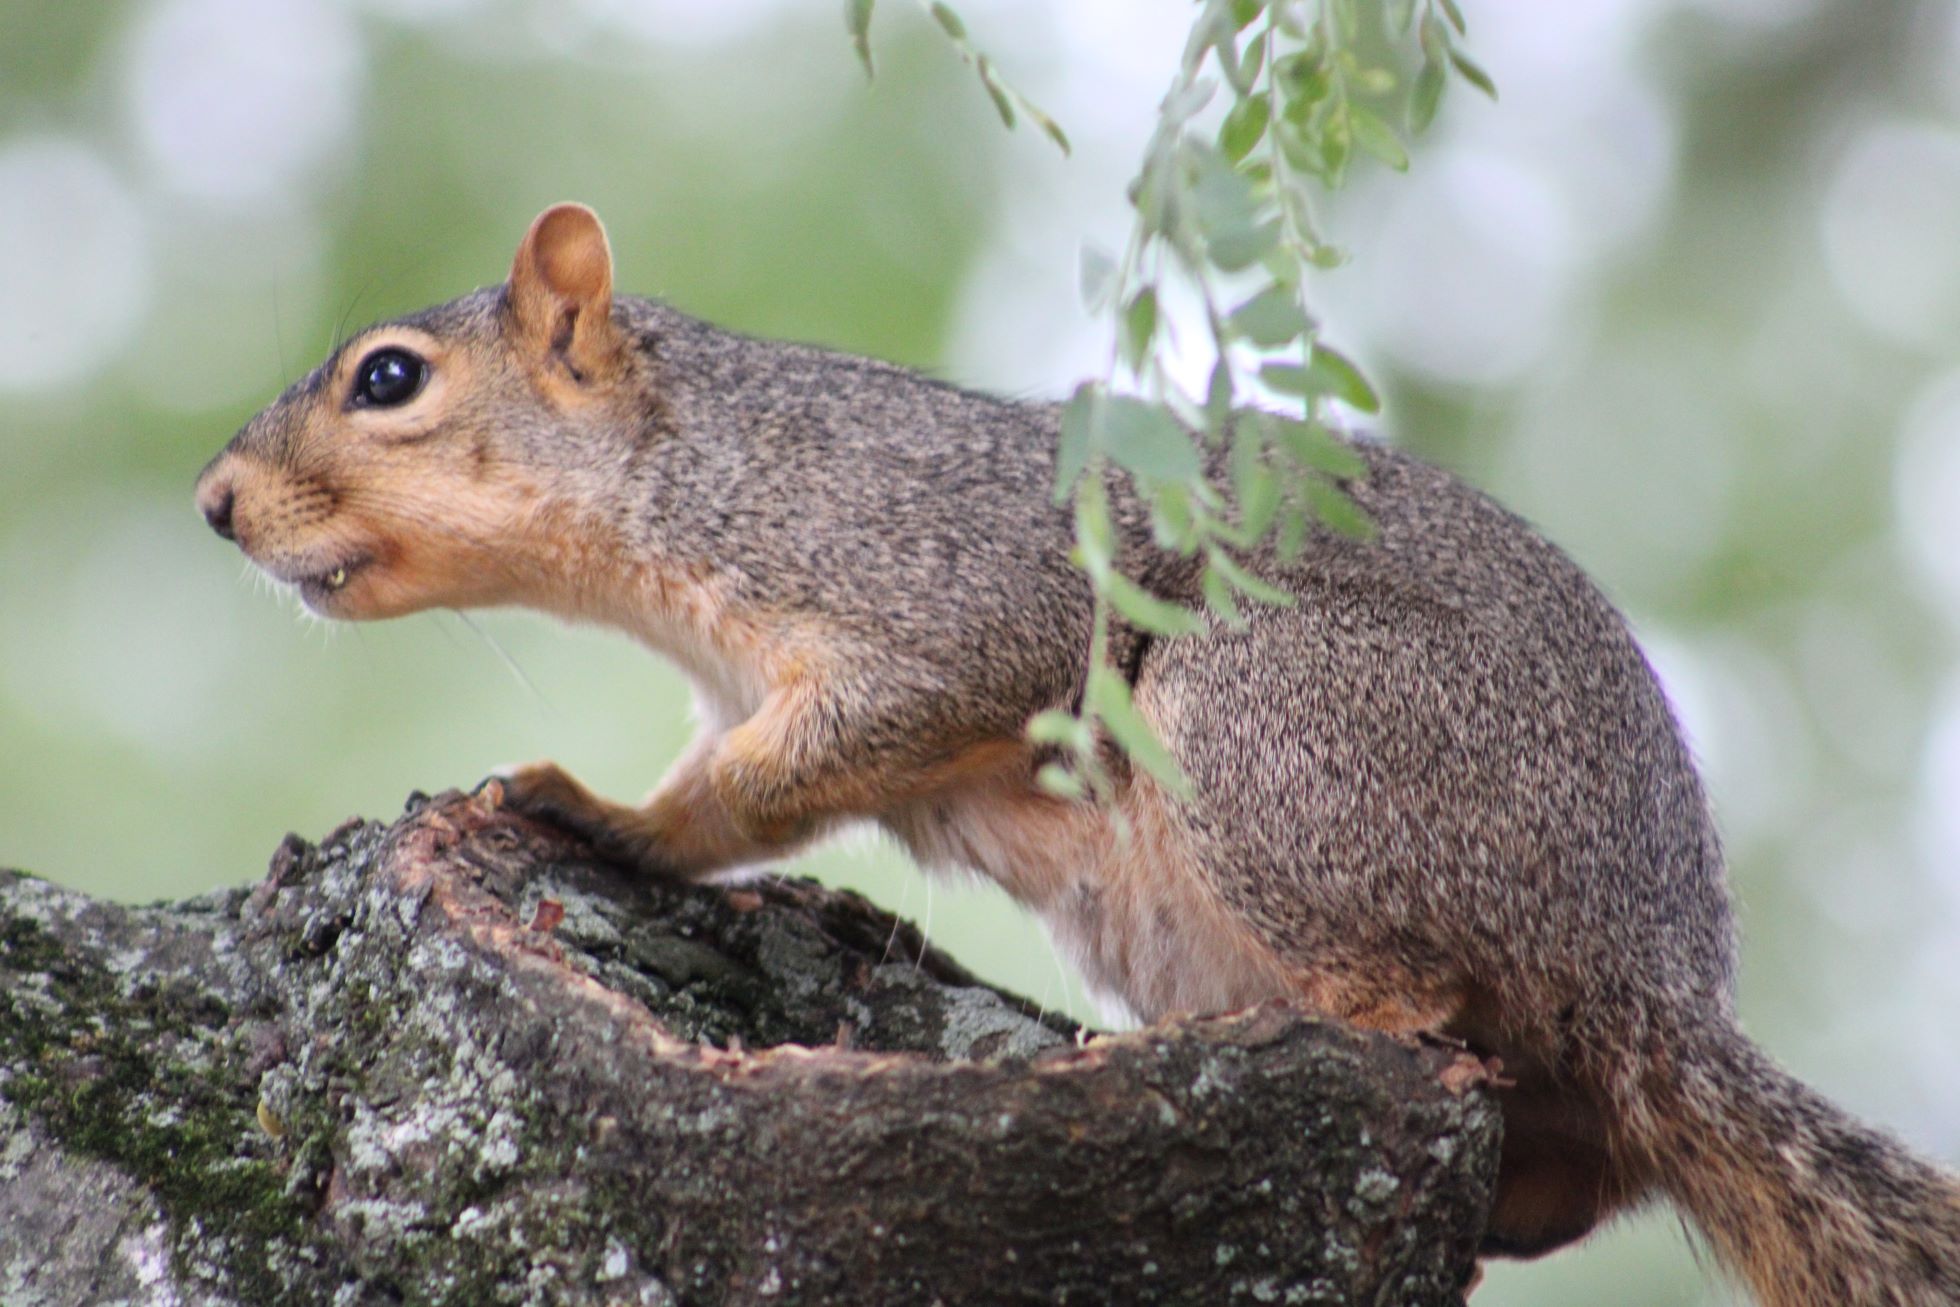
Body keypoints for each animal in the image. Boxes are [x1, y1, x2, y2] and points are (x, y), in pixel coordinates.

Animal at [195, 206, 1960, 1307]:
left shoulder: (937, 592)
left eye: (389, 377)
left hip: (1270, 726)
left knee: (1419, 1004)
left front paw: (591, 813)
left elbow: (789, 771)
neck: (698, 468)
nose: (214, 503)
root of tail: (1647, 960)